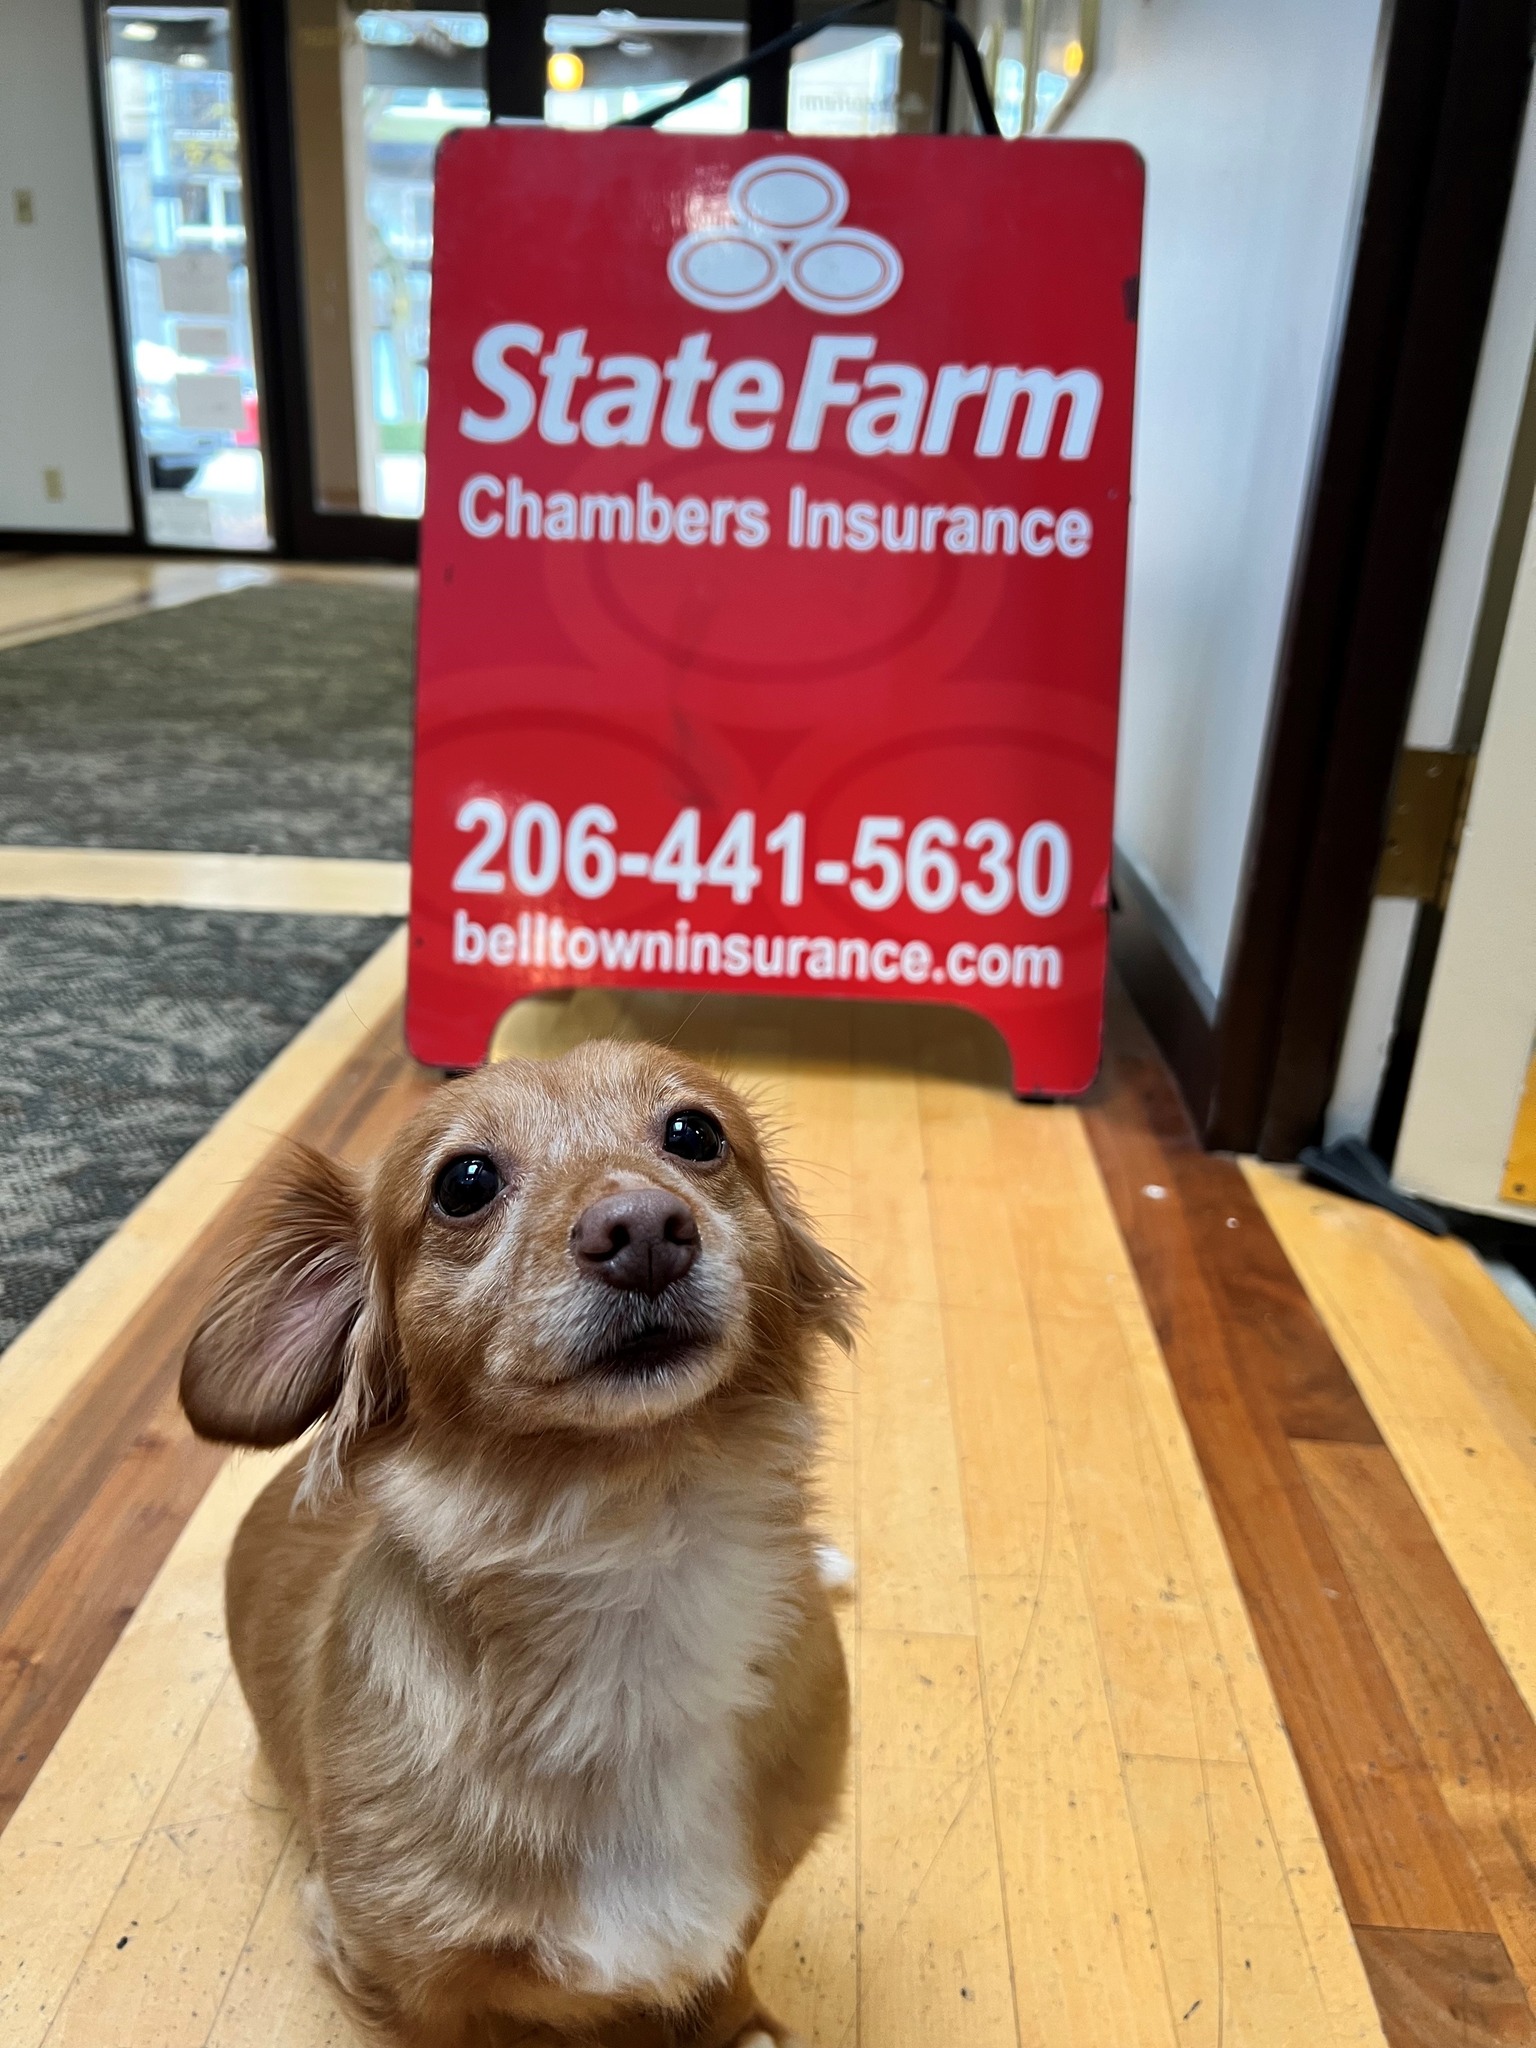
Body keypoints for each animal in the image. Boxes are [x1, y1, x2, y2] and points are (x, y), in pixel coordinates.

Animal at [185, 1048, 860, 2039]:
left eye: (695, 1133)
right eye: (463, 1183)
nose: (643, 1228)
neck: (628, 1544)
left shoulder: (754, 1889)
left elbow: (728, 1964)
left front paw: (739, 2029)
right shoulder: (396, 1975)